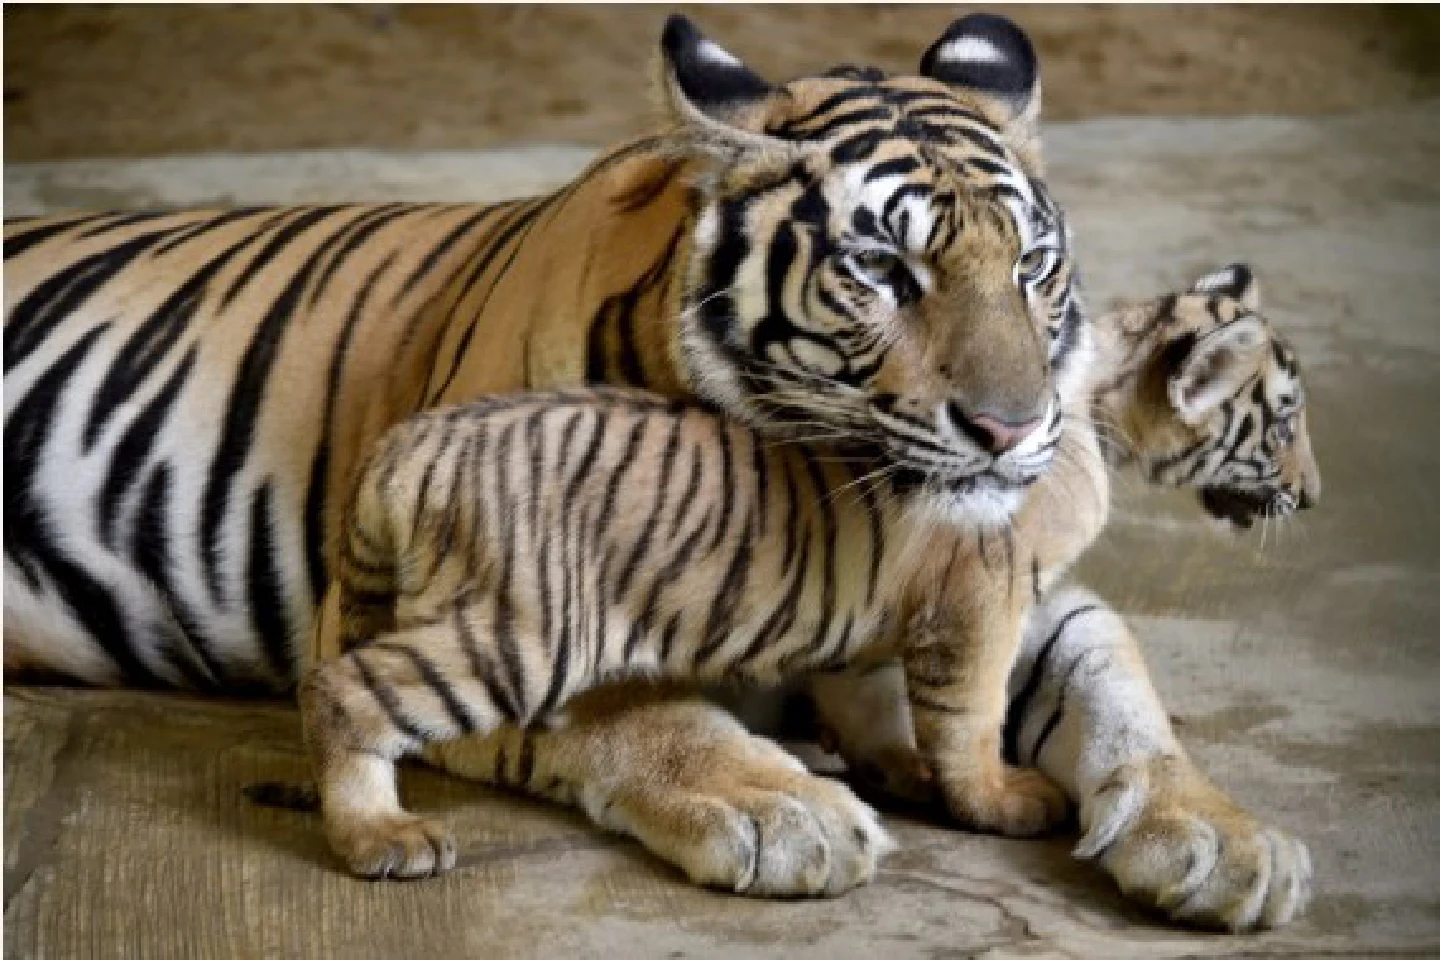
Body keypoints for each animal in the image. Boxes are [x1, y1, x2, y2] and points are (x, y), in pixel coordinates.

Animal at [1, 12, 1311, 929]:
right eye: (884, 272)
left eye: (1034, 266)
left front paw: (1227, 840)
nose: (1014, 428)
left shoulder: (976, 589)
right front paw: (776, 805)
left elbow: (1113, 678)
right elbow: (625, 708)